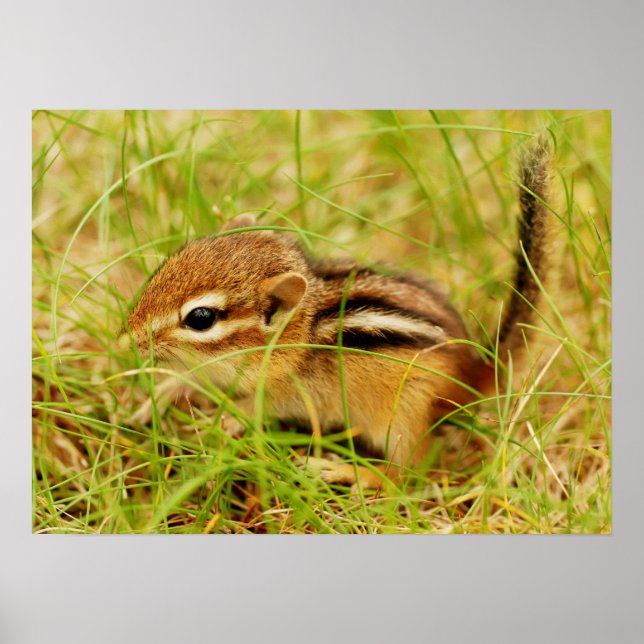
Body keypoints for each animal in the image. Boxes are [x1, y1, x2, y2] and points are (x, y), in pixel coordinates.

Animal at [120, 136, 553, 489]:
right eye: (173, 261)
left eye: (201, 318)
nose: (127, 339)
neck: (299, 335)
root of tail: (477, 371)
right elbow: (191, 379)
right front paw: (157, 397)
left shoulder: (294, 394)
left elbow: (257, 407)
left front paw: (220, 420)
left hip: (405, 416)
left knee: (407, 474)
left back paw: (344, 471)